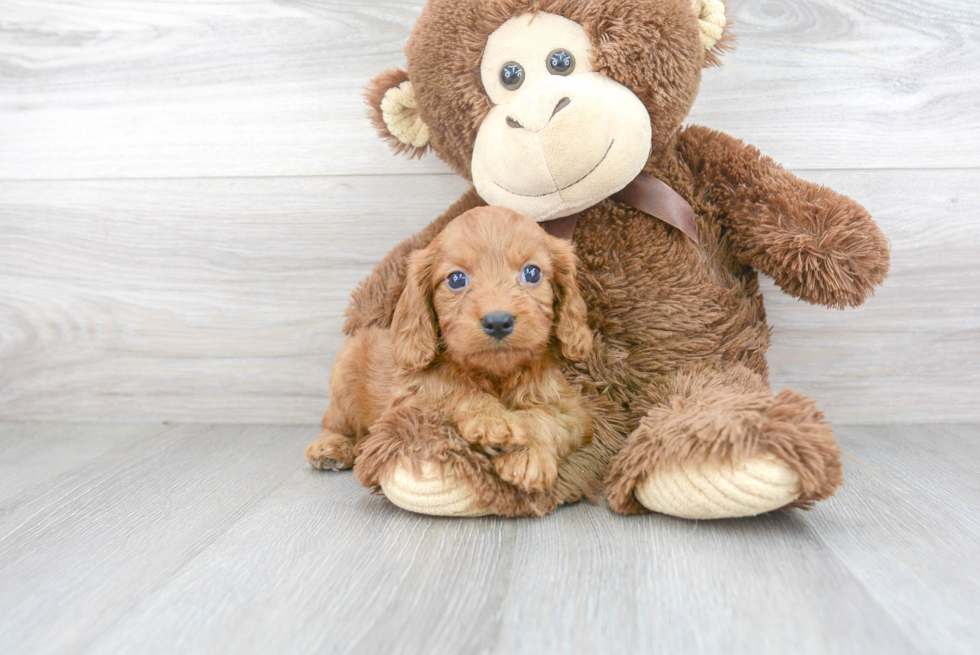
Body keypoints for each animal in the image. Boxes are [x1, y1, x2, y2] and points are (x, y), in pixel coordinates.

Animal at [304, 208, 588, 490]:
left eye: (532, 273)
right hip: (343, 383)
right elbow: (454, 391)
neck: (496, 374)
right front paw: (492, 421)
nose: (498, 322)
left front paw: (528, 454)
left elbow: (545, 418)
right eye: (456, 279)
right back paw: (331, 447)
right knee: (334, 423)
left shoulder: (573, 412)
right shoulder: (413, 399)